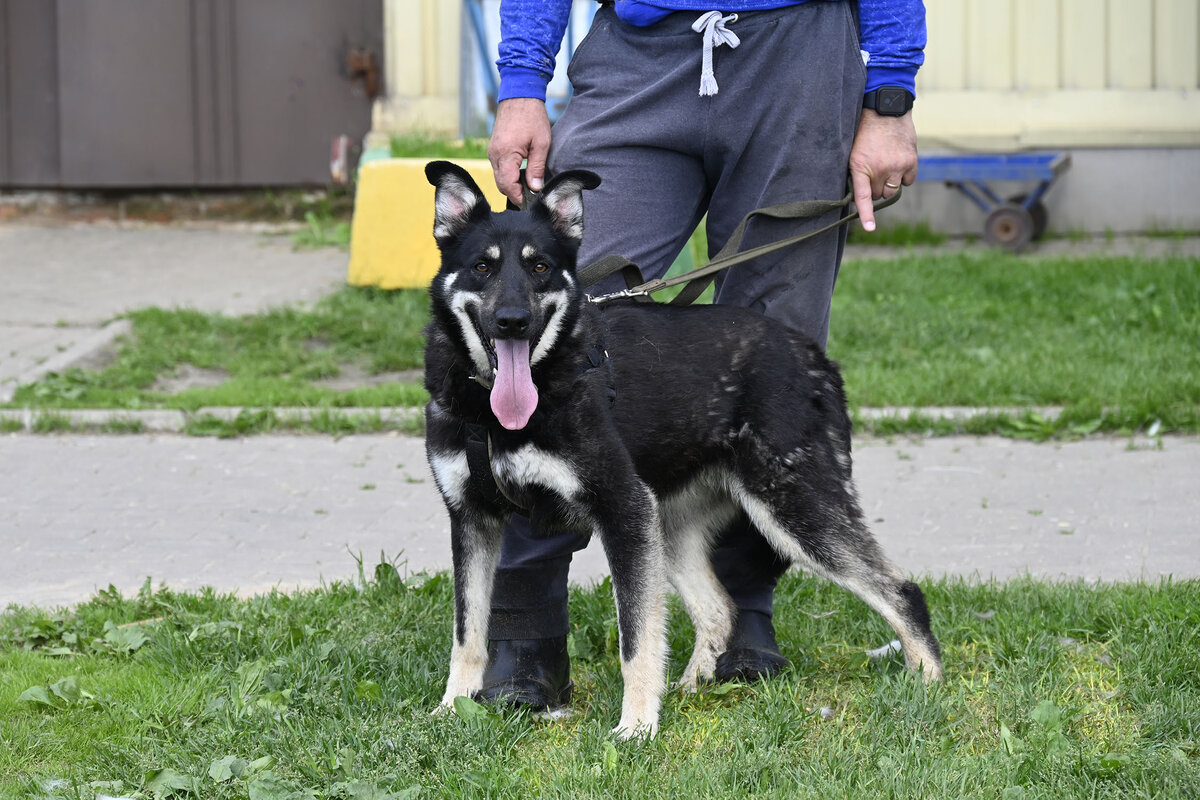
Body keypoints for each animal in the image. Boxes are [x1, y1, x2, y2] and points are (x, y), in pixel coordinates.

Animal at [420, 159, 936, 743]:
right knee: (720, 609)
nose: (512, 320)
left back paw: (928, 683)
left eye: (541, 267)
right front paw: (452, 707)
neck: (496, 411)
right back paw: (693, 687)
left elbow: (636, 637)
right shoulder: (472, 520)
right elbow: (468, 632)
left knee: (901, 590)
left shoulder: (623, 511)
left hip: (795, 510)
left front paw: (637, 727)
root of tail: (811, 354)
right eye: (482, 267)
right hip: (672, 526)